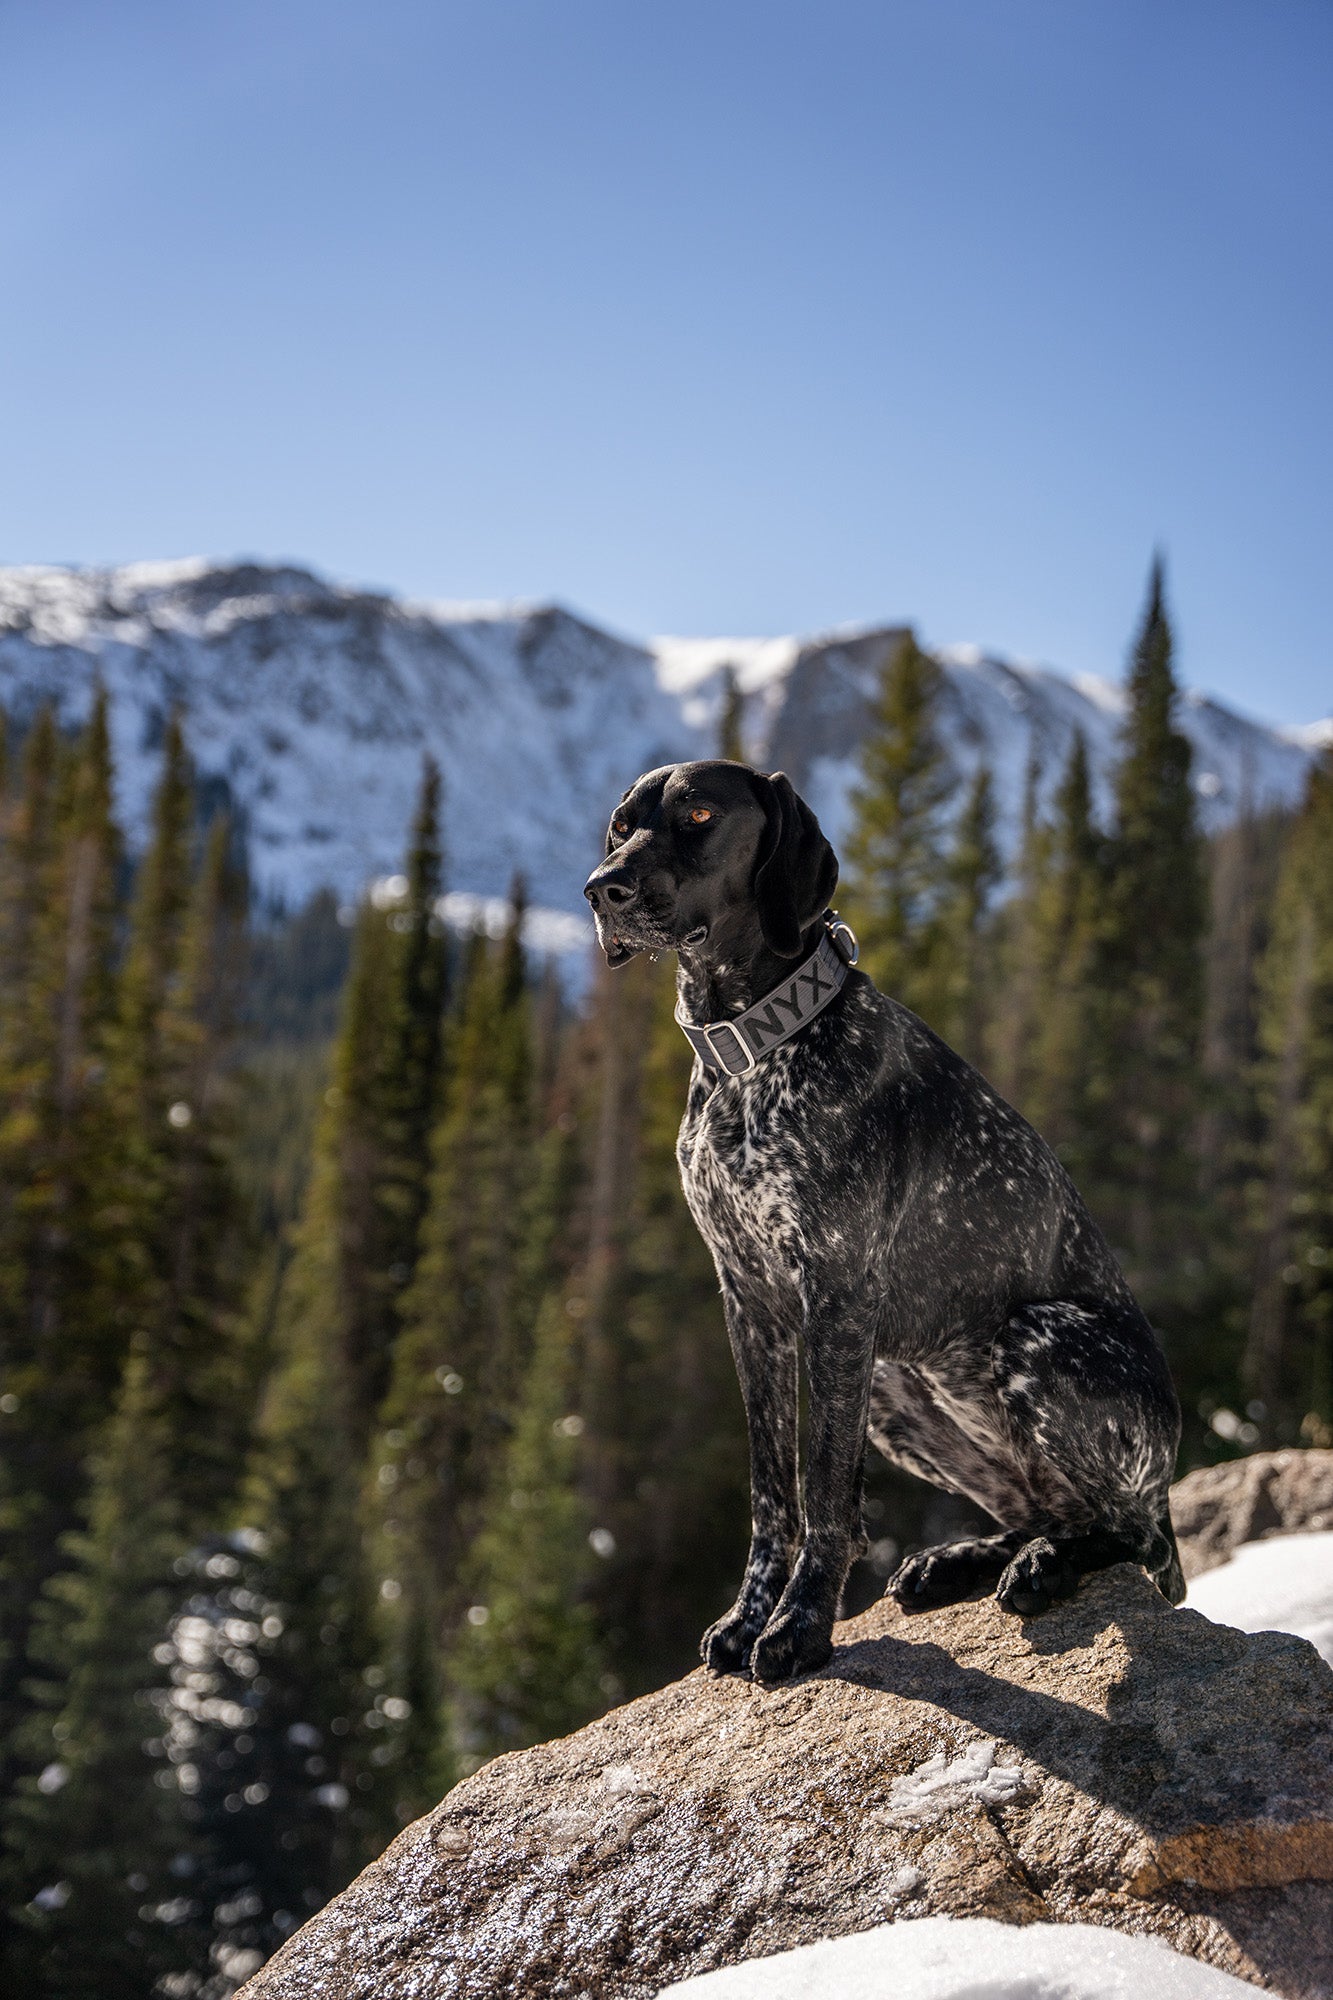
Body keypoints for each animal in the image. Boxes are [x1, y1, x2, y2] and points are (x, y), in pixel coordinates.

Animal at [580, 756, 1184, 1680]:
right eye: (621, 824)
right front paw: (748, 1615)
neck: (750, 1052)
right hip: (898, 1388)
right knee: (1046, 1509)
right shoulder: (750, 1304)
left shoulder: (834, 1297)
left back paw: (1043, 1570)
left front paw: (798, 1627)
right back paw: (964, 1559)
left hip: (1031, 1337)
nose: (600, 888)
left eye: (700, 813)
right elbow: (772, 1492)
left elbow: (826, 1492)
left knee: (1128, 1533)